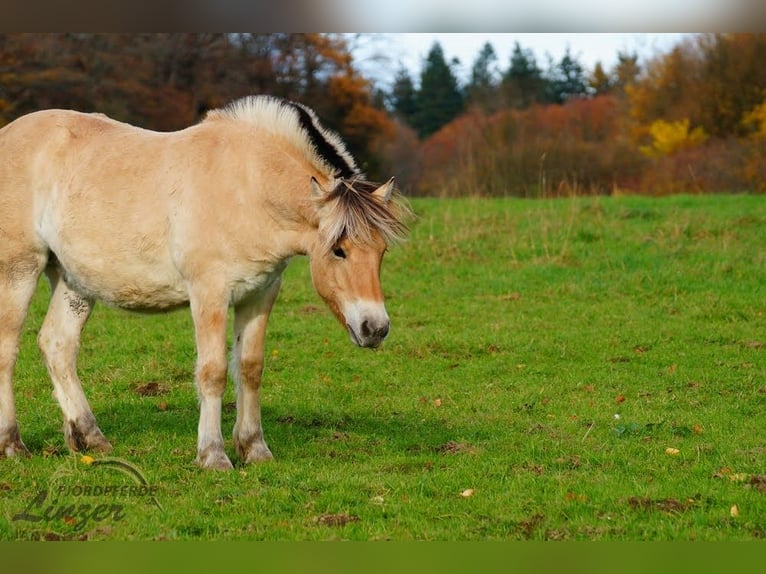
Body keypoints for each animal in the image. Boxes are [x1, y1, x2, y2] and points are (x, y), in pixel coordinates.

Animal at [0, 95, 411, 470]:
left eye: (381, 252)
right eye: (339, 250)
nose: (375, 328)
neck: (247, 187)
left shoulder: (260, 294)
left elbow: (250, 368)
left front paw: (254, 449)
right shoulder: (209, 294)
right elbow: (212, 372)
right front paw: (213, 455)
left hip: (75, 281)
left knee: (57, 344)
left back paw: (90, 439)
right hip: (19, 270)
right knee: (8, 350)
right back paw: (13, 446)